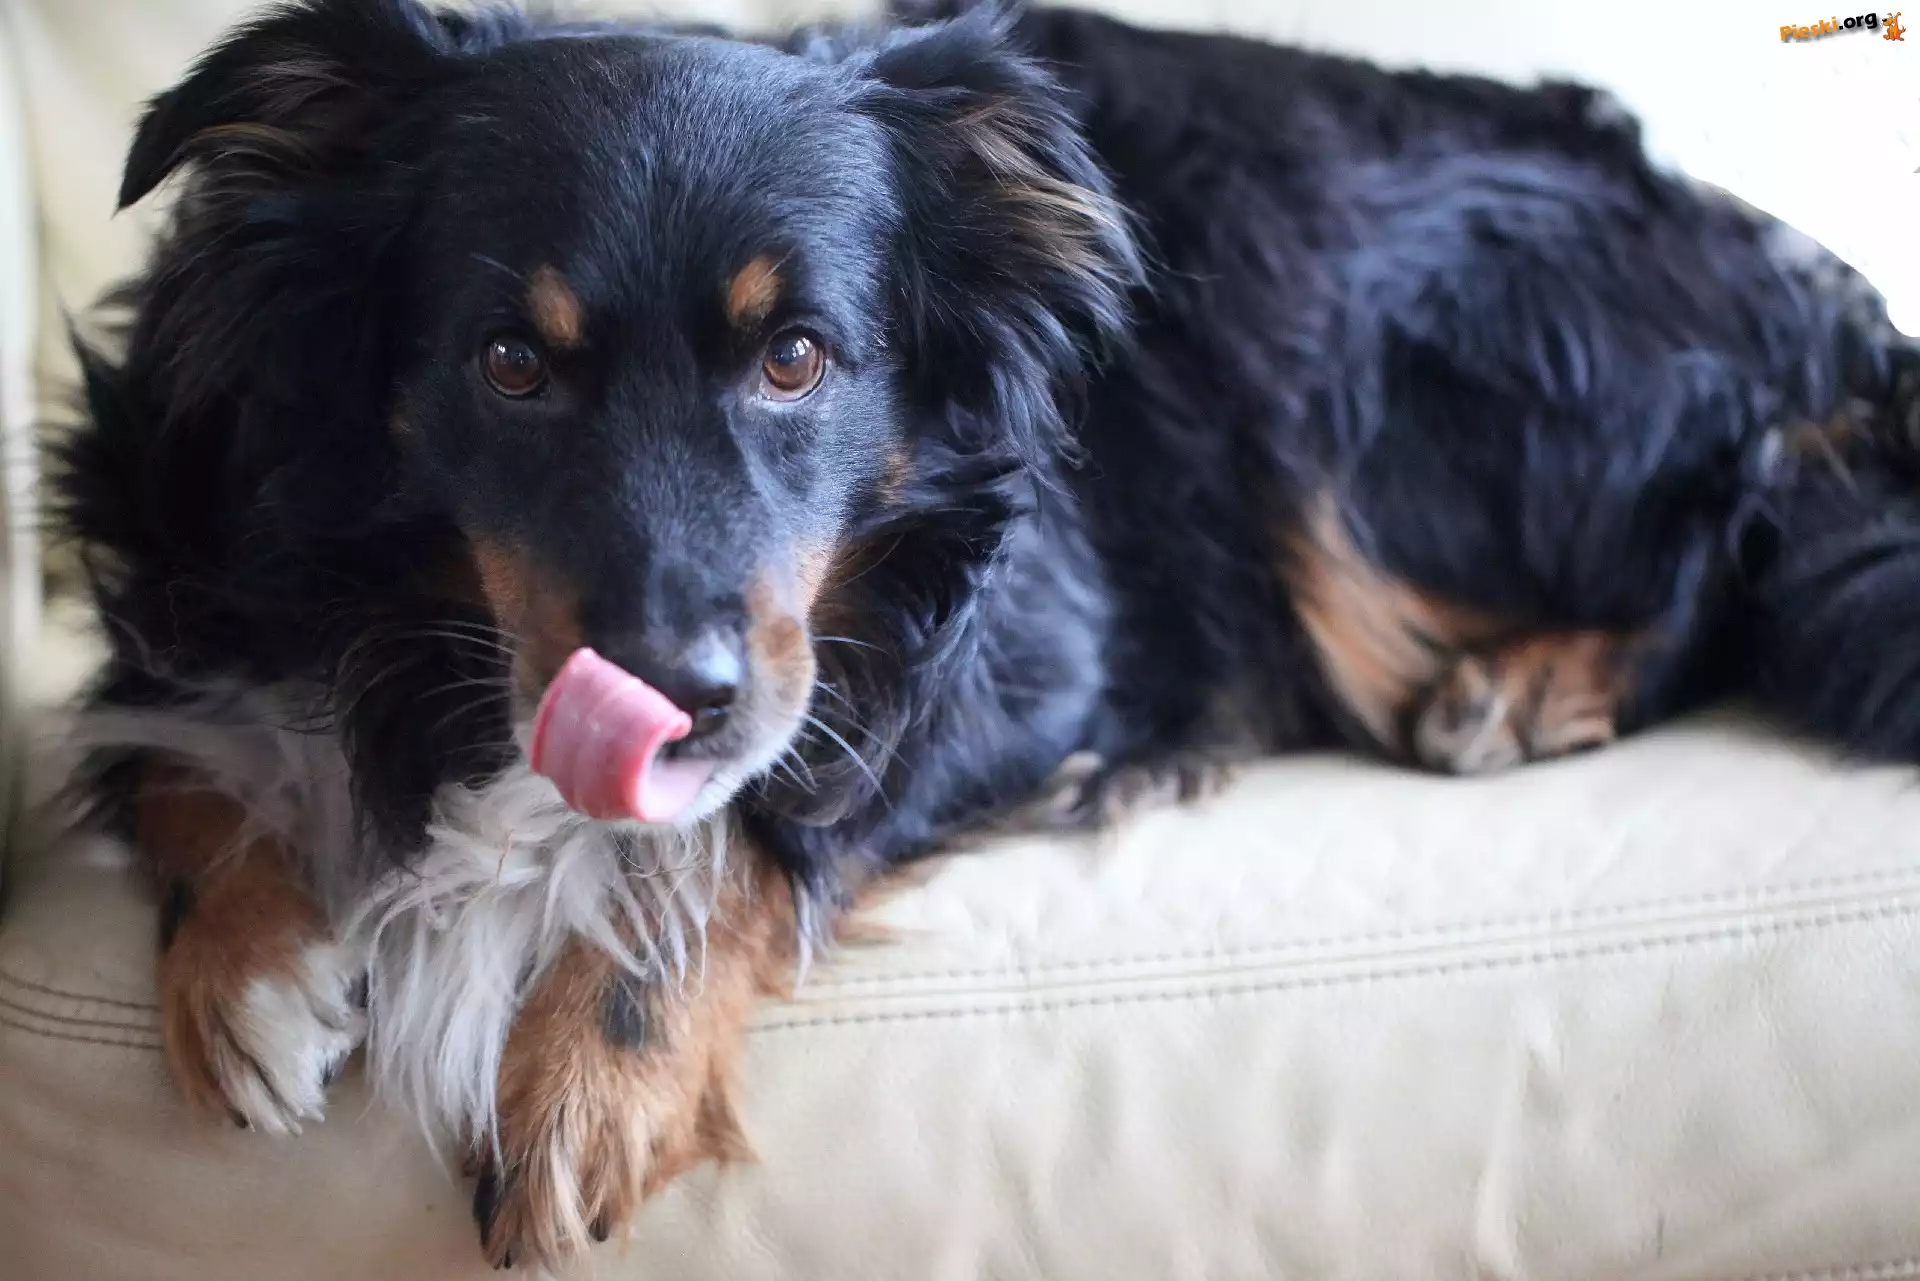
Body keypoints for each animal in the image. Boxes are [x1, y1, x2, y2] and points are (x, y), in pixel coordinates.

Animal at [50, 0, 1920, 1268]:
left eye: (797, 357)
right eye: (510, 364)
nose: (677, 699)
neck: (420, 613)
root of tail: (1820, 302)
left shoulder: (1016, 648)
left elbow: (741, 833)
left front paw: (590, 1071)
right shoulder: (180, 556)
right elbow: (169, 745)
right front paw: (249, 966)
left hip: (1340, 340)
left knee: (1730, 543)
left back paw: (1524, 687)